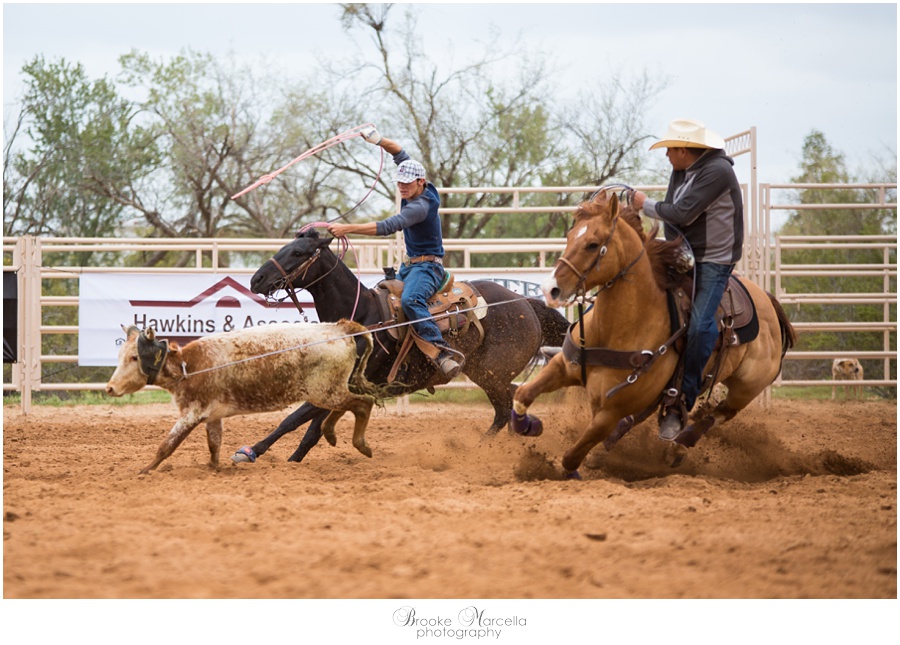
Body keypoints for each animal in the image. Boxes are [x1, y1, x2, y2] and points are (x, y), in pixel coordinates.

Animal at [234, 231, 568, 462]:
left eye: (298, 252)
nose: (257, 279)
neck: (364, 317)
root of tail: (526, 303)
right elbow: (309, 428)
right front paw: (292, 459)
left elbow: (294, 418)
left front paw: (250, 451)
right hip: (489, 374)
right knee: (512, 402)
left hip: (491, 374)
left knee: (502, 410)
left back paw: (476, 450)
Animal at [510, 189, 800, 476]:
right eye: (570, 236)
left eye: (593, 244)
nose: (550, 289)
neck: (618, 328)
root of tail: (768, 301)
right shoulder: (563, 365)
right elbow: (522, 394)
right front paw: (530, 425)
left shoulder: (611, 410)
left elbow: (572, 456)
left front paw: (569, 470)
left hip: (747, 387)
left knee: (718, 414)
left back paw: (678, 447)